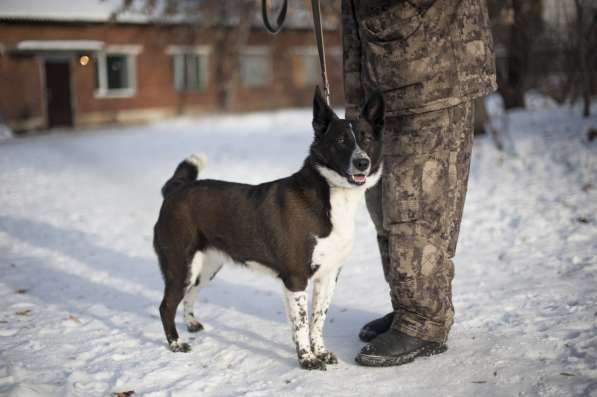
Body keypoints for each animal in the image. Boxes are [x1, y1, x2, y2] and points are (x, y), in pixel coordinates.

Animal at [154, 86, 384, 368]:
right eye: (340, 140)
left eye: (367, 139)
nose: (362, 162)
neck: (331, 195)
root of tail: (176, 189)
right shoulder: (296, 277)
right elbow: (302, 323)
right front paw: (307, 359)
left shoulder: (329, 275)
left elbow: (317, 320)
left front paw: (320, 352)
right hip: (180, 265)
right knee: (166, 305)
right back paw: (175, 343)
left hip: (207, 267)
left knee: (189, 294)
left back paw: (191, 323)